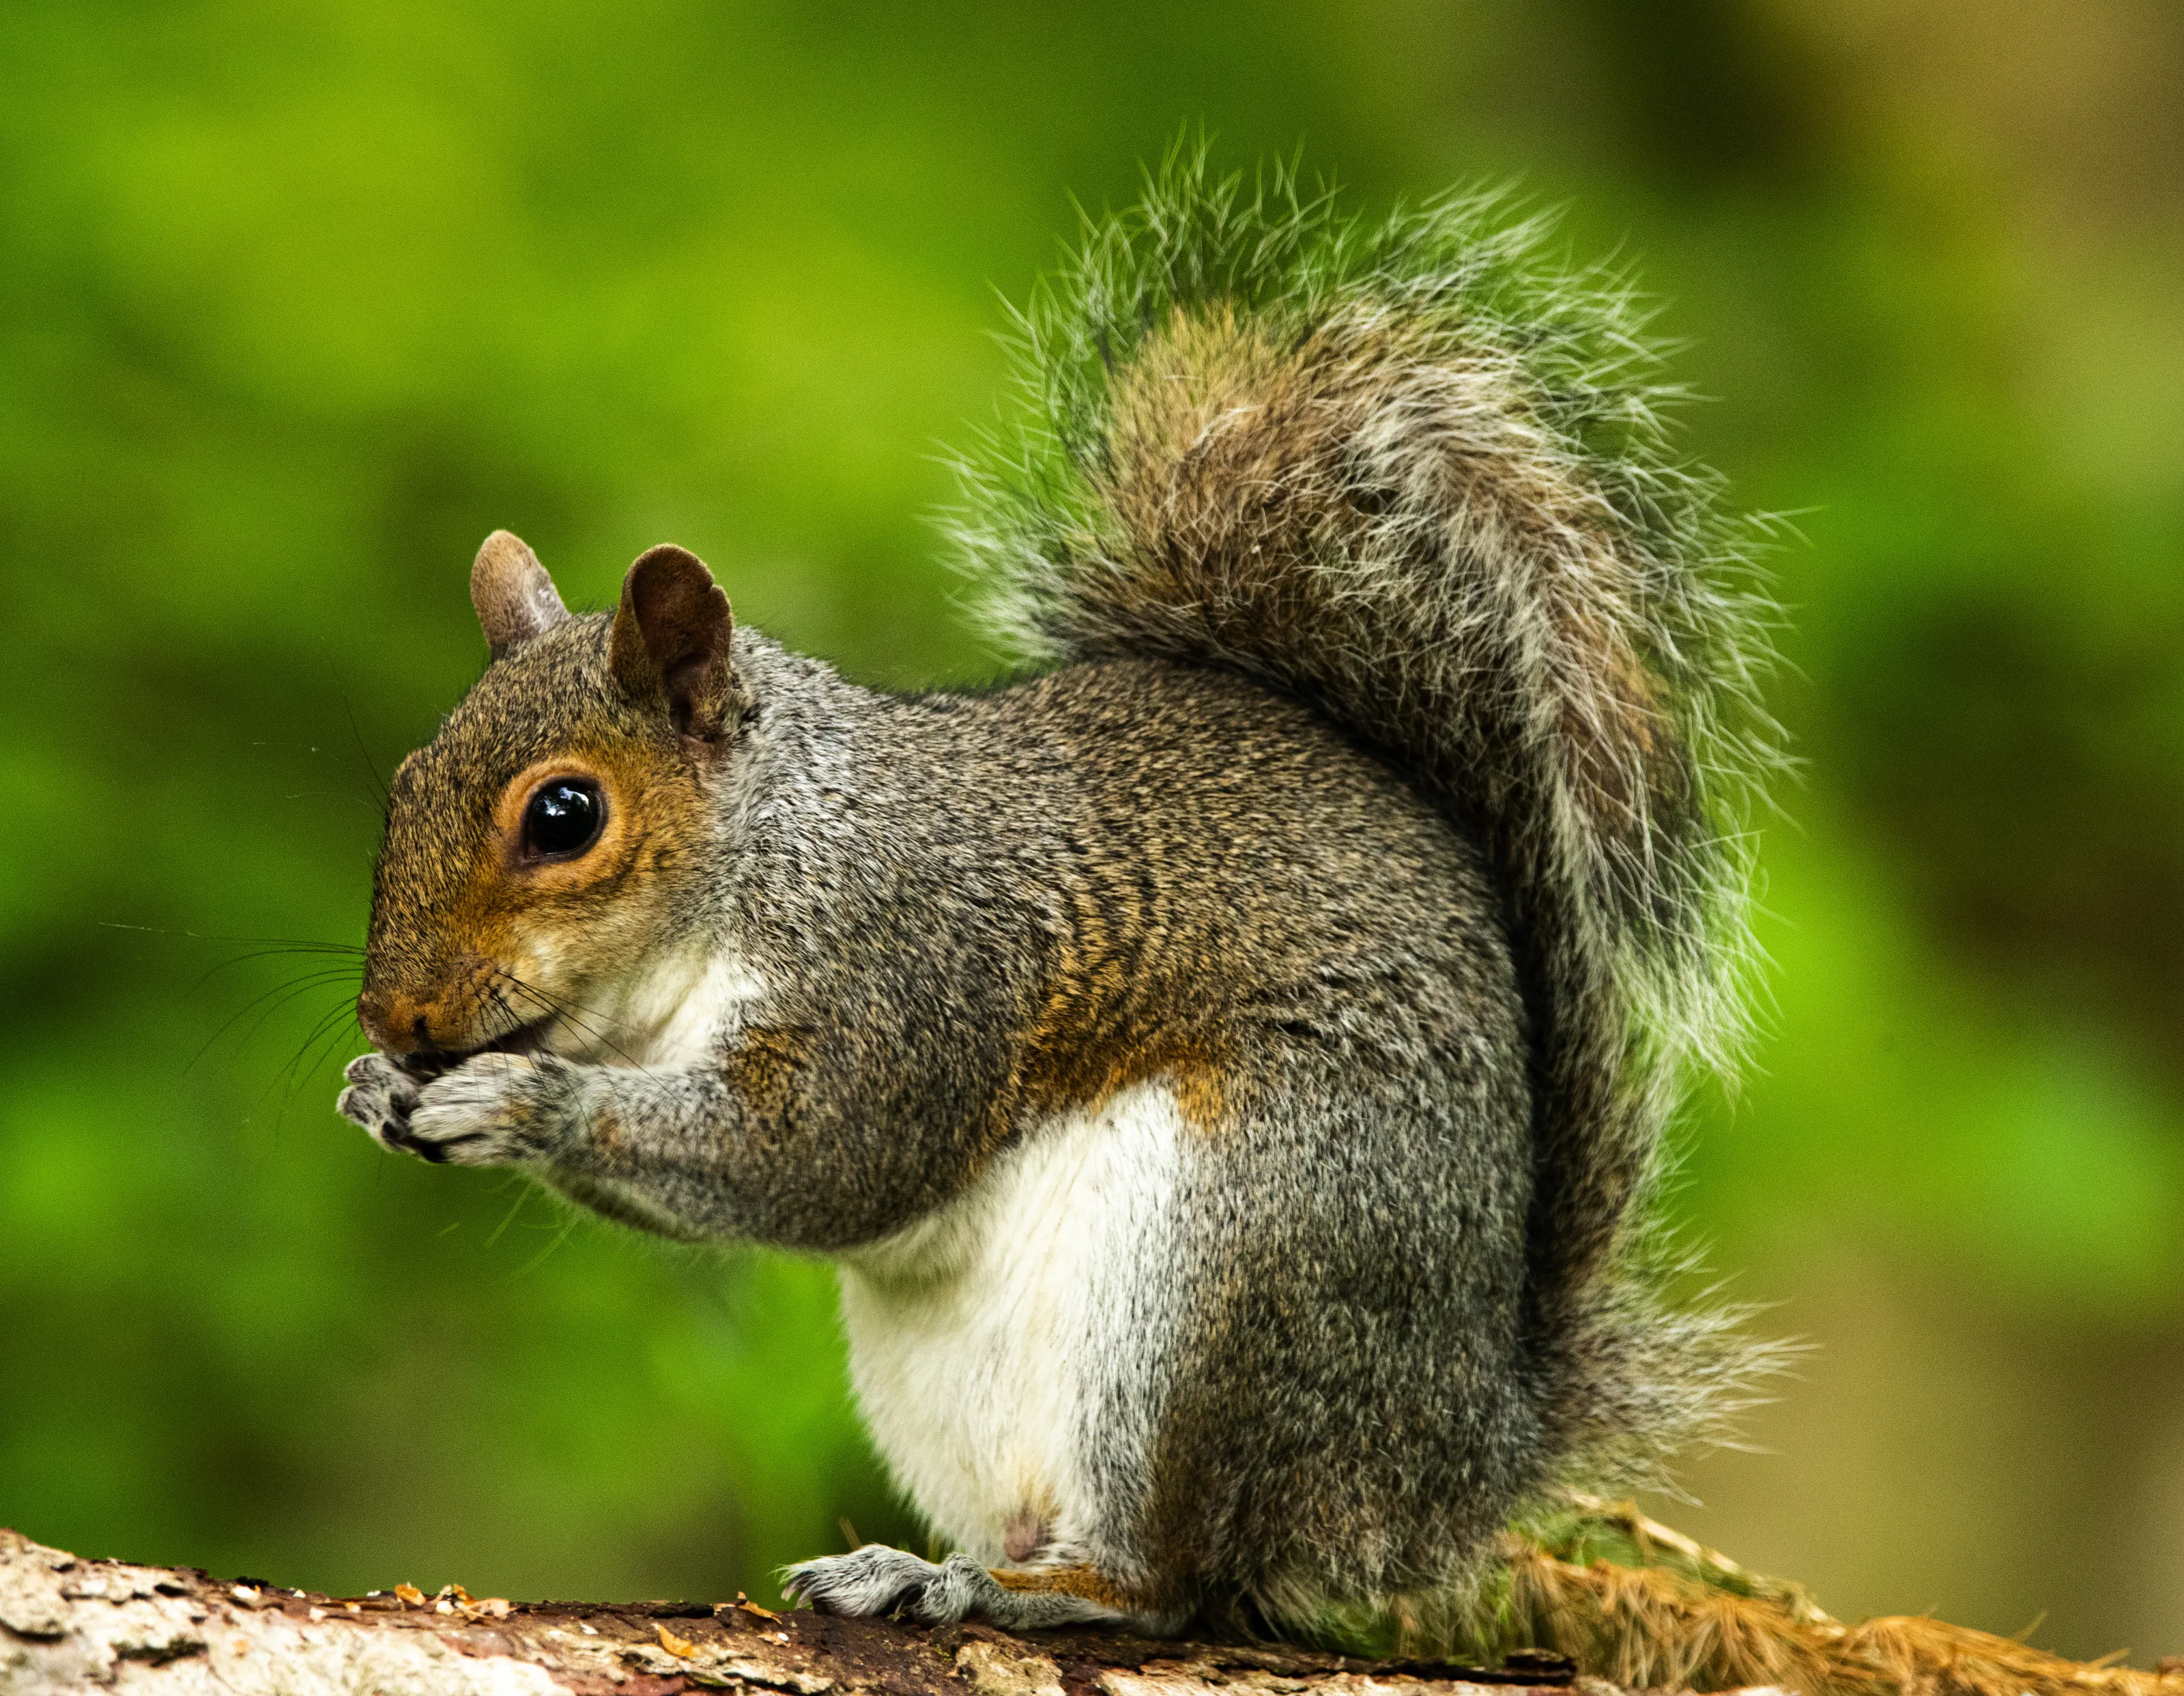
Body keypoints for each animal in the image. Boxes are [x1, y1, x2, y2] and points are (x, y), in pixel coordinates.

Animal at [336, 160, 1774, 1644]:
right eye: (403, 783)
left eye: (564, 817)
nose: (396, 1017)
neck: (757, 865)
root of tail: (1451, 1455)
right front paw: (378, 1092)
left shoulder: (914, 961)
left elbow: (823, 1154)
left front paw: (523, 1103)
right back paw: (931, 1565)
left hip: (1226, 1258)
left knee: (1173, 1583)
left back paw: (1023, 1586)